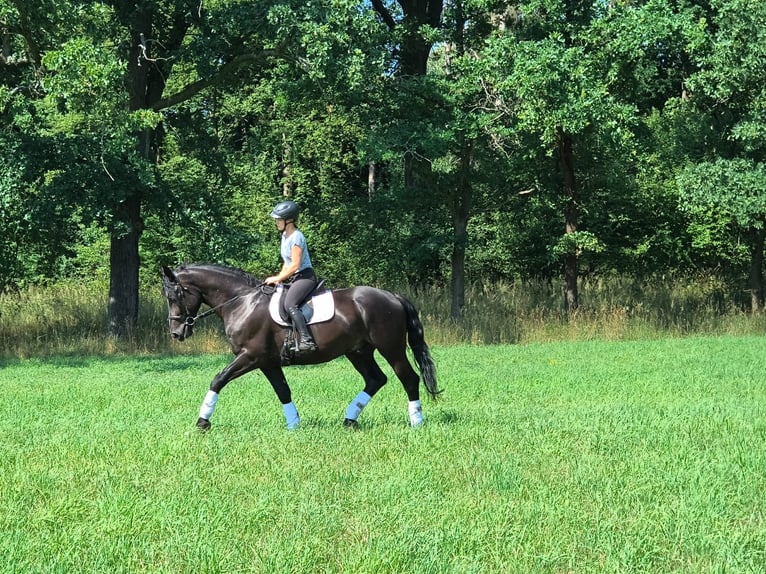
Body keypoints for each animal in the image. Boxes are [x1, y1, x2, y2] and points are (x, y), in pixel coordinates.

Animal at [160, 263, 440, 430]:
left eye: (175, 295)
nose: (176, 332)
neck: (243, 303)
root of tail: (393, 297)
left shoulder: (251, 357)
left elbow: (218, 379)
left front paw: (202, 422)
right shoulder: (268, 362)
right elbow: (283, 391)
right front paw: (294, 424)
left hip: (390, 348)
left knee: (409, 378)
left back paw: (416, 422)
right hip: (358, 351)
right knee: (375, 379)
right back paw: (349, 420)